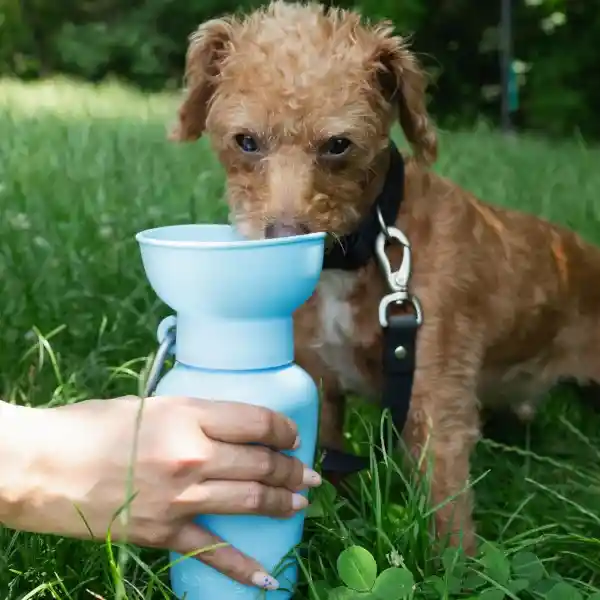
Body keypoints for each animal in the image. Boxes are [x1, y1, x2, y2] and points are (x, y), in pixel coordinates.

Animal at [166, 0, 600, 556]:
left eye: (338, 145)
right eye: (246, 141)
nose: (284, 235)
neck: (363, 251)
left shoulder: (436, 399)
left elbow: (447, 513)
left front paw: (460, 566)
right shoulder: (321, 386)